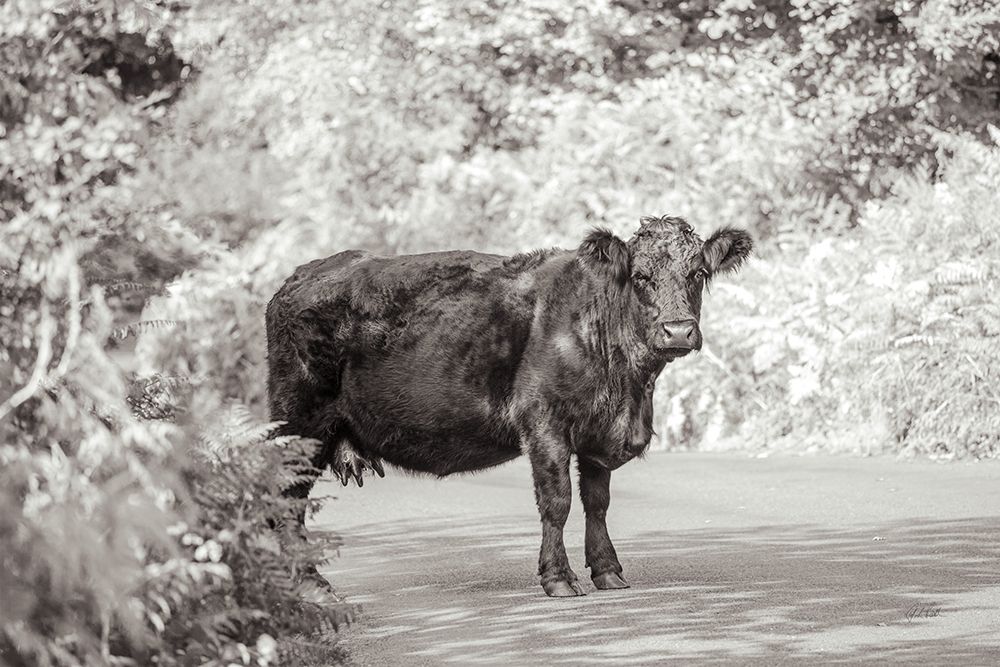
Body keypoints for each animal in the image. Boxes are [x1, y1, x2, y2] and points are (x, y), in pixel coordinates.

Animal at [265, 215, 752, 597]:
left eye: (698, 274)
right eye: (641, 277)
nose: (678, 330)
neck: (629, 388)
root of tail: (301, 275)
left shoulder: (597, 435)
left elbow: (597, 503)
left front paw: (608, 571)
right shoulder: (544, 424)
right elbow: (557, 501)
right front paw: (559, 578)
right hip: (299, 423)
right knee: (287, 500)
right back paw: (310, 585)